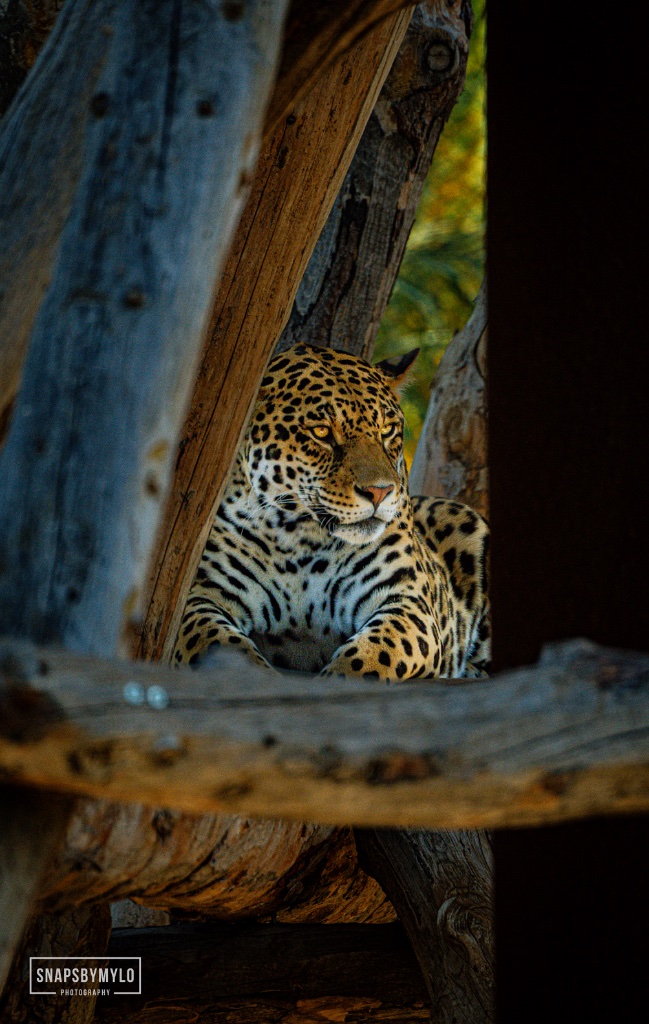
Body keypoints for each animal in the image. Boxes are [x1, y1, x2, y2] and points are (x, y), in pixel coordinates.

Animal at [174, 343, 489, 681]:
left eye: (387, 430)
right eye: (322, 432)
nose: (380, 492)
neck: (298, 536)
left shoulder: (406, 601)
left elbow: (369, 660)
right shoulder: (202, 596)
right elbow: (223, 653)